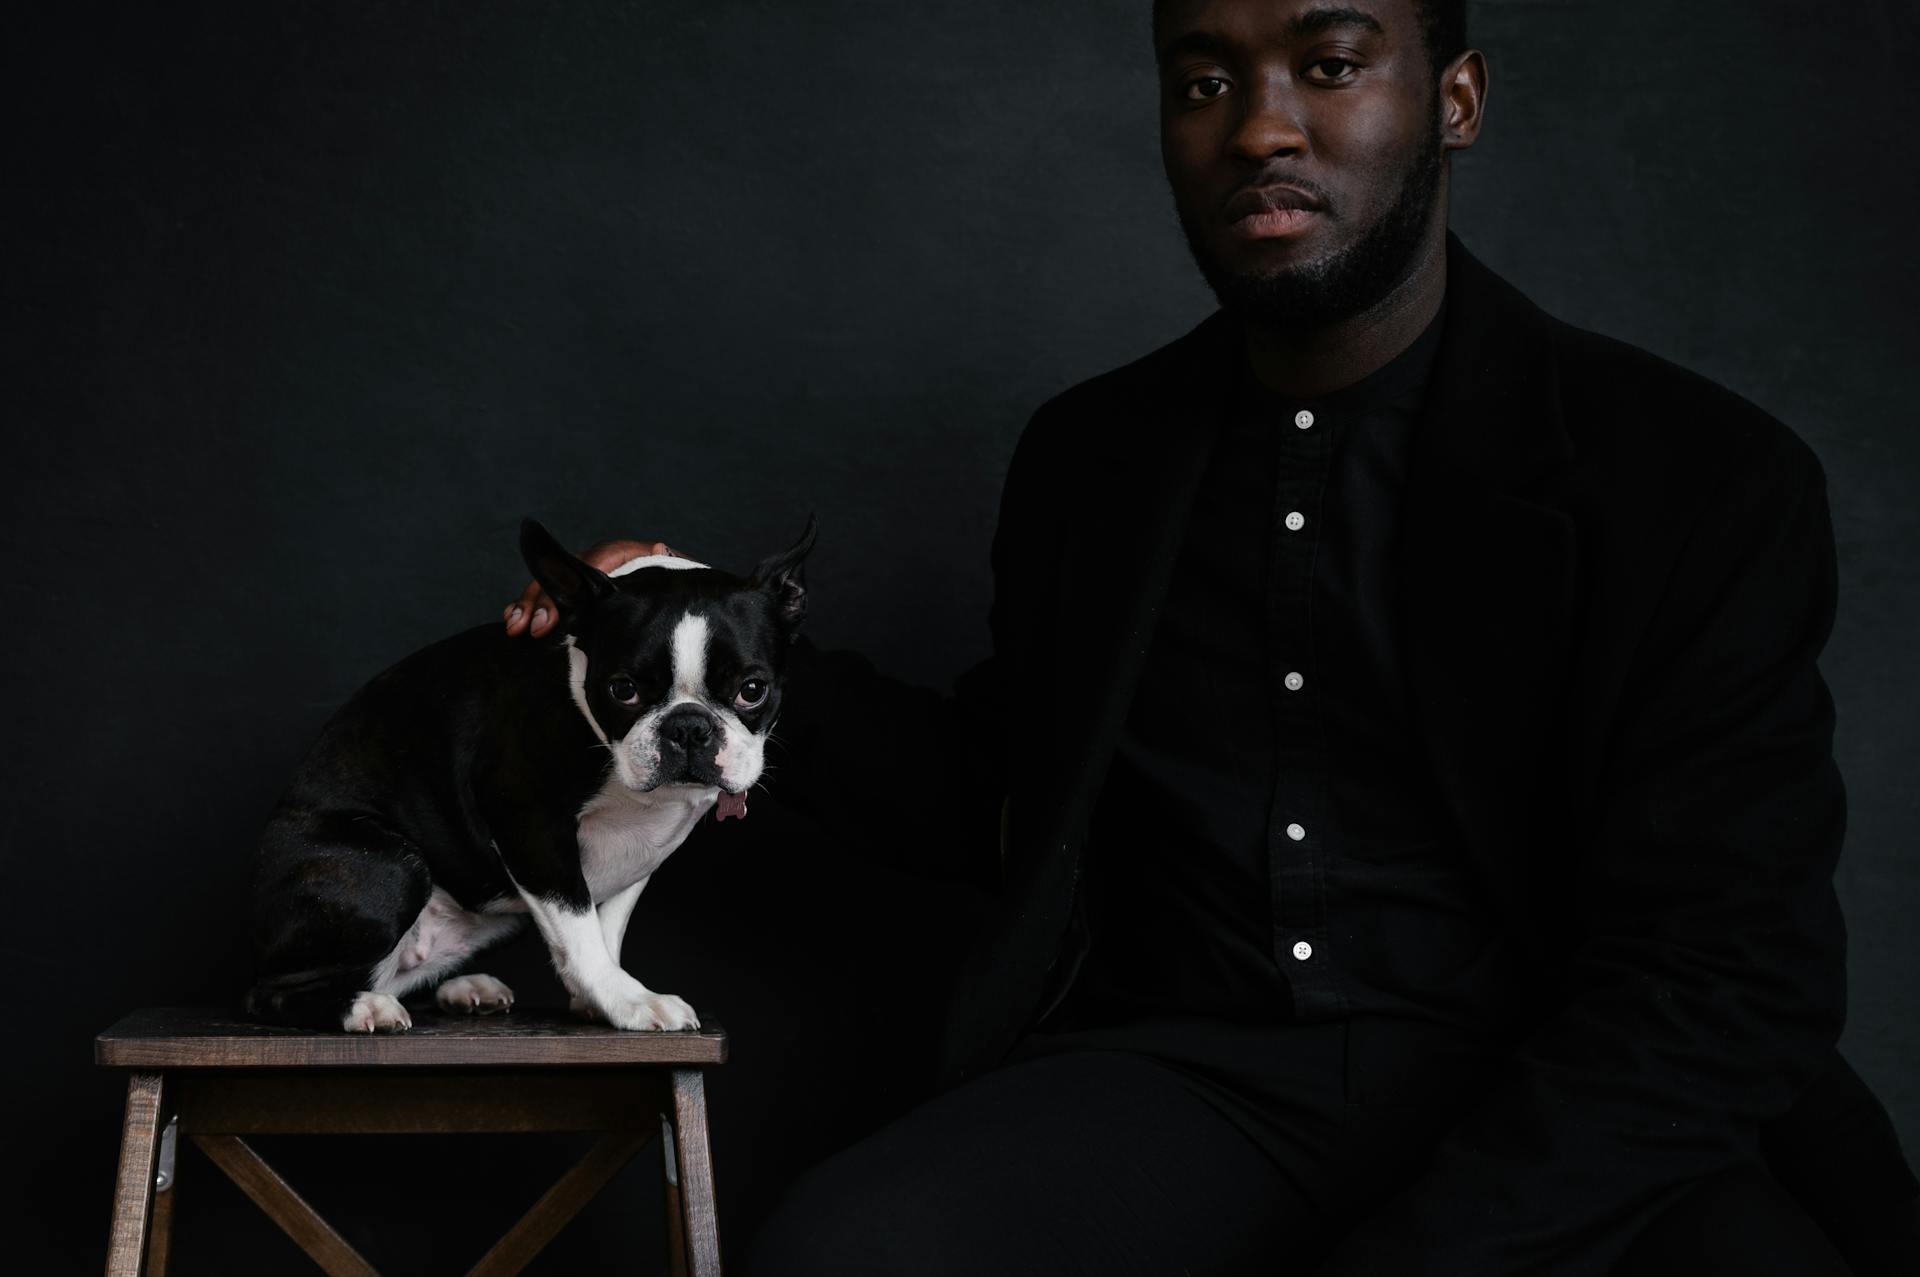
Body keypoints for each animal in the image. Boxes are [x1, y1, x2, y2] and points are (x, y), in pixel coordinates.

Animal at [245, 514, 810, 1029]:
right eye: (622, 690)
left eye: (752, 690)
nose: (689, 727)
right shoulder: (530, 827)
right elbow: (580, 931)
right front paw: (629, 1001)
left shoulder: (642, 849)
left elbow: (607, 926)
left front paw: (599, 999)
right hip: (393, 866)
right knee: (274, 992)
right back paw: (365, 1008)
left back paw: (461, 989)